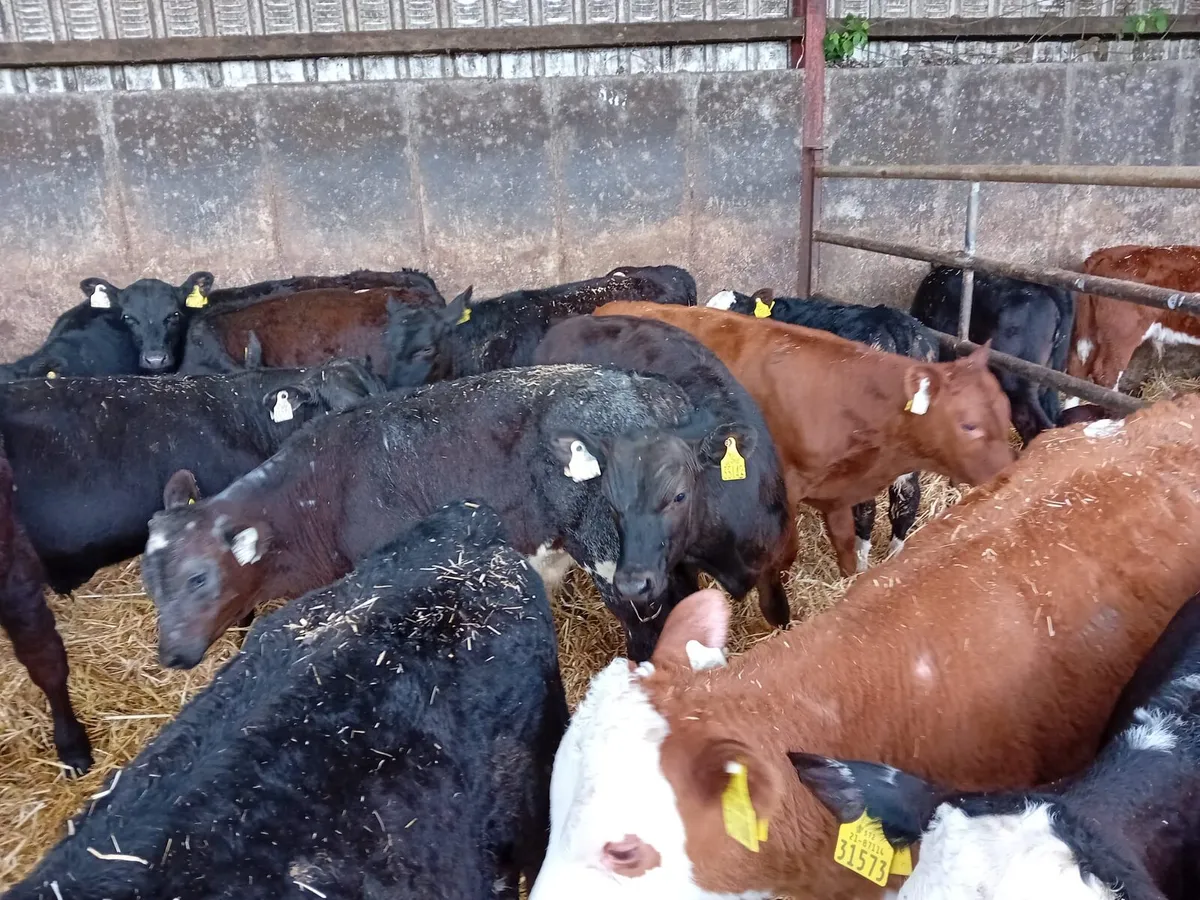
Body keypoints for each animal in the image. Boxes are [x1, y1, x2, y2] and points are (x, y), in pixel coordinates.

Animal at [141, 364, 776, 667]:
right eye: (150, 583)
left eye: (199, 577)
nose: (171, 654)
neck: (323, 489)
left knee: (647, 622)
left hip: (611, 557)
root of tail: (651, 390)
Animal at [533, 314, 794, 629]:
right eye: (611, 503)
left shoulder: (770, 566)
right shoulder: (677, 574)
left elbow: (778, 615)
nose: (633, 585)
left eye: (679, 496)